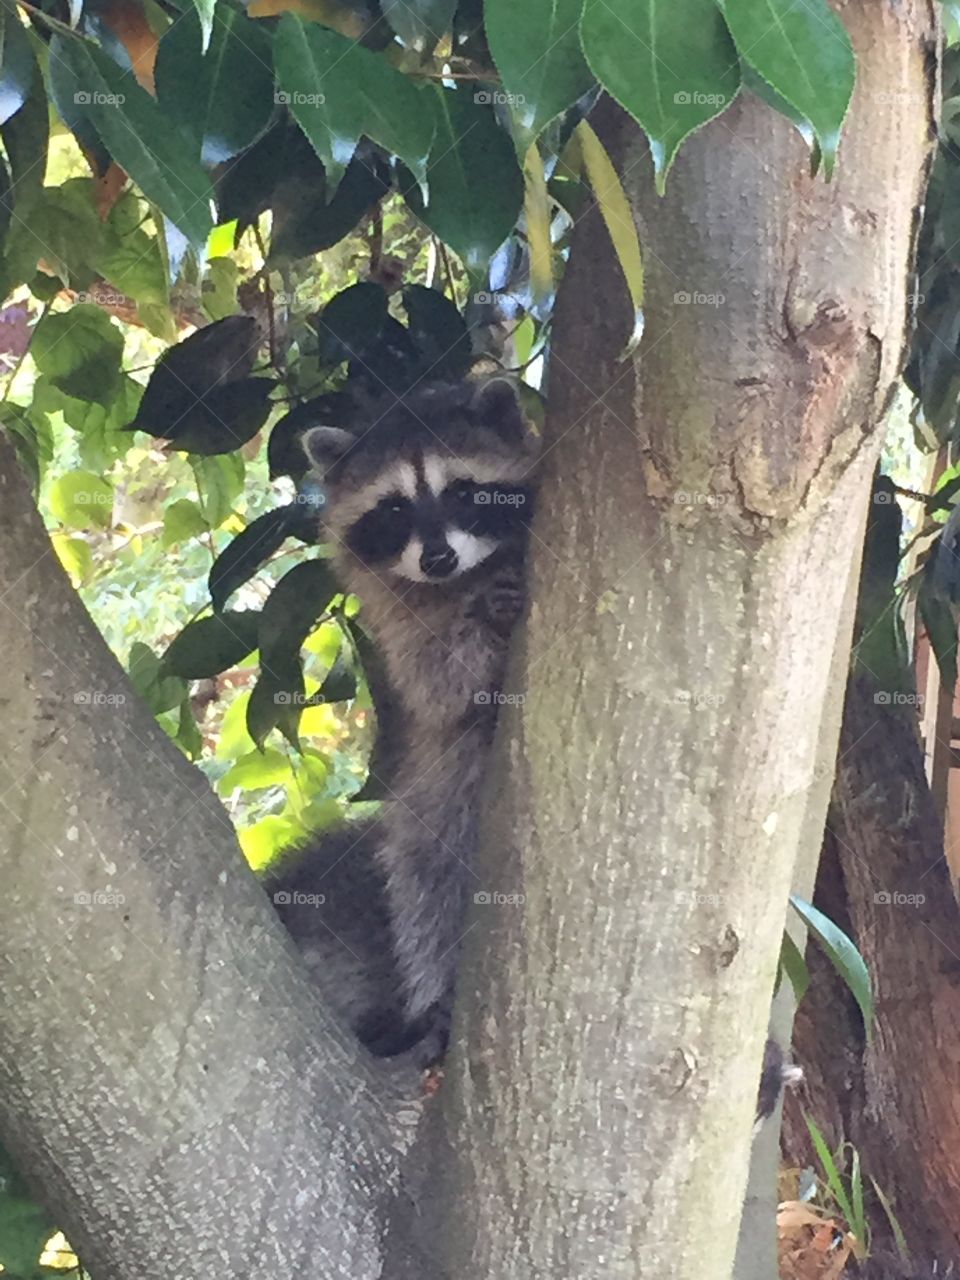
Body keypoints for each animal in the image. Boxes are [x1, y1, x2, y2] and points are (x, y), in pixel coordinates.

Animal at [268, 376, 542, 1059]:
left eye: (463, 492)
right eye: (393, 509)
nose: (438, 558)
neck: (464, 578)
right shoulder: (398, 624)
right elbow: (439, 684)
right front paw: (480, 628)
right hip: (440, 795)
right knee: (430, 879)